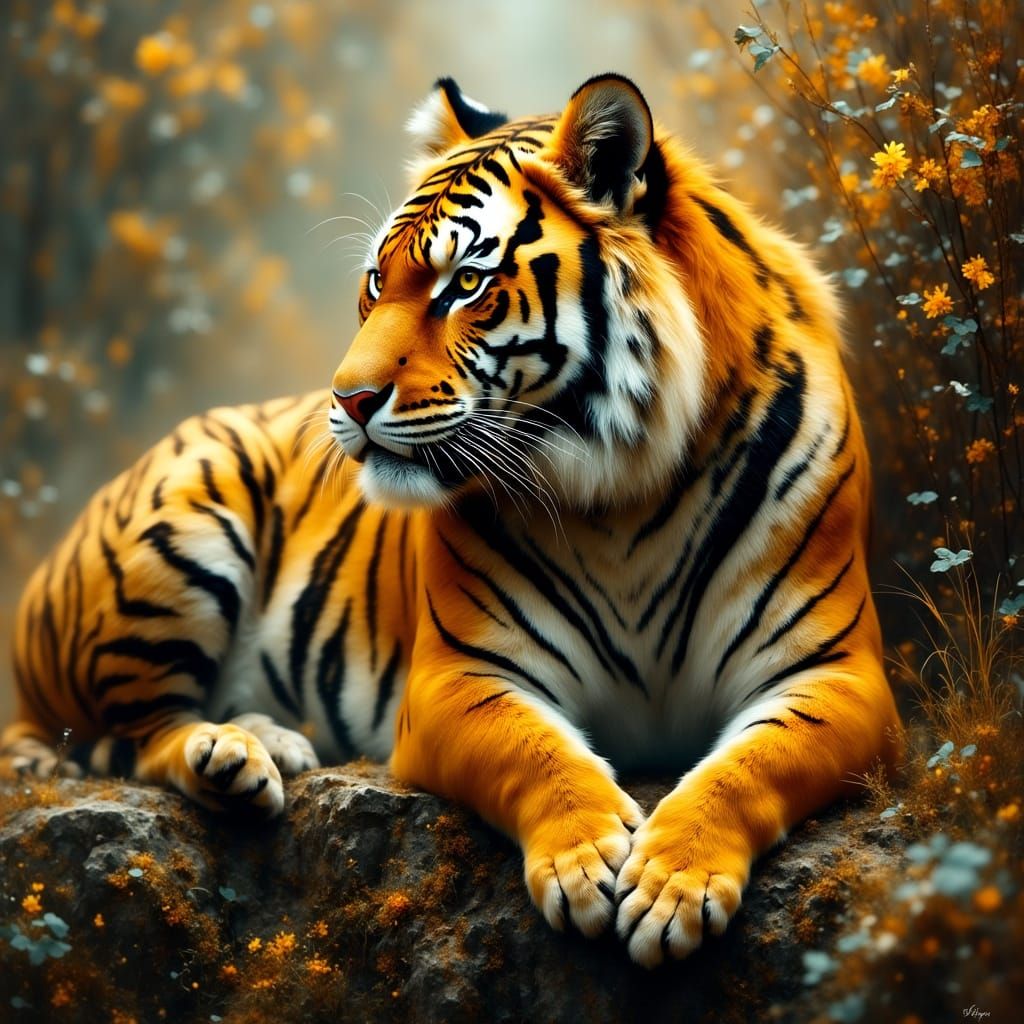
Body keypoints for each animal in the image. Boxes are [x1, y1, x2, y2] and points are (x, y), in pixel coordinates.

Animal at [3, 74, 901, 966]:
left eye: (464, 284)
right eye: (376, 282)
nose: (347, 399)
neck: (626, 490)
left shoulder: (836, 672)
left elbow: (747, 767)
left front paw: (671, 885)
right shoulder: (456, 676)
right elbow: (537, 752)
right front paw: (585, 864)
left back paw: (269, 740)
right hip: (183, 533)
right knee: (144, 732)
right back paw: (232, 755)